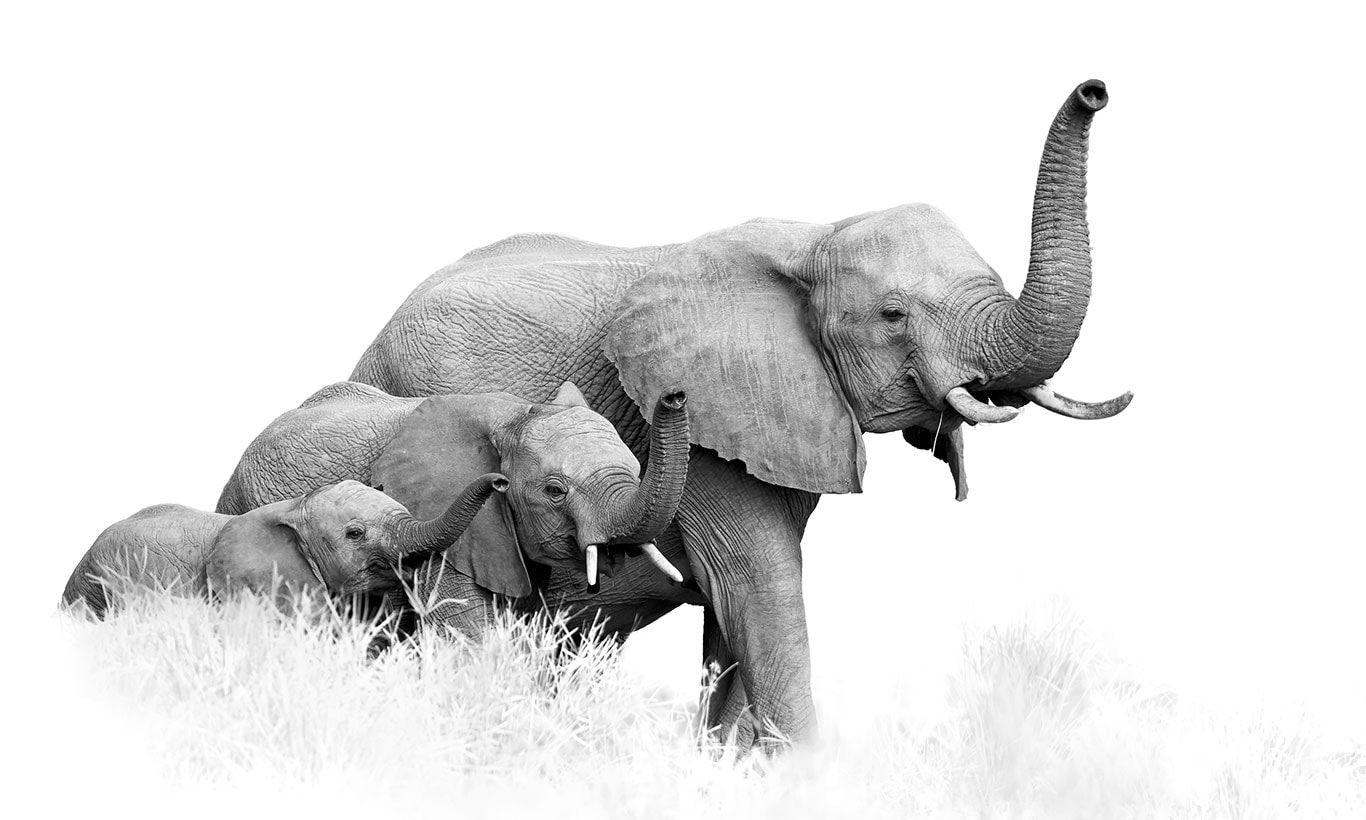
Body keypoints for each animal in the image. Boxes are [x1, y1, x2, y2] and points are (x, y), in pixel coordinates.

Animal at [337, 79, 1131, 747]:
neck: (815, 236)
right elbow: (759, 588)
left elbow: (735, 622)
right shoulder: (712, 438)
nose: (1095, 90)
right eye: (893, 314)